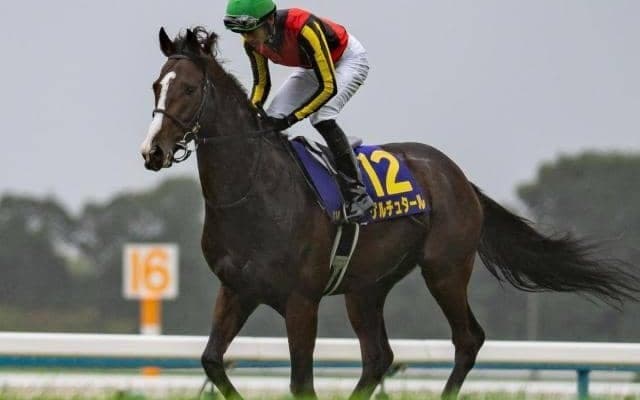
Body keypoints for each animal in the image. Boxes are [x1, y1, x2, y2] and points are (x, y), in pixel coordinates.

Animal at [140, 27, 640, 400]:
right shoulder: (237, 290)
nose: (153, 151)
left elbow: (301, 382)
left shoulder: (301, 301)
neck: (254, 192)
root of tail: (457, 176)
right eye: (156, 85)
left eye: (189, 88)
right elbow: (211, 361)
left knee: (467, 339)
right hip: (367, 288)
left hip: (445, 268)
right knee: (378, 358)